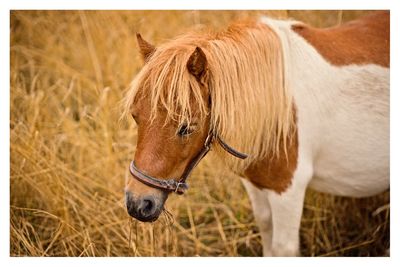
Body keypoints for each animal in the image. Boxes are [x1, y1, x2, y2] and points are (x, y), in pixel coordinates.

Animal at [123, 11, 390, 258]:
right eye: (136, 117)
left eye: (187, 127)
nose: (137, 204)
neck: (278, 107)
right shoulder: (256, 186)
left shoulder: (288, 190)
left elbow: (283, 248)